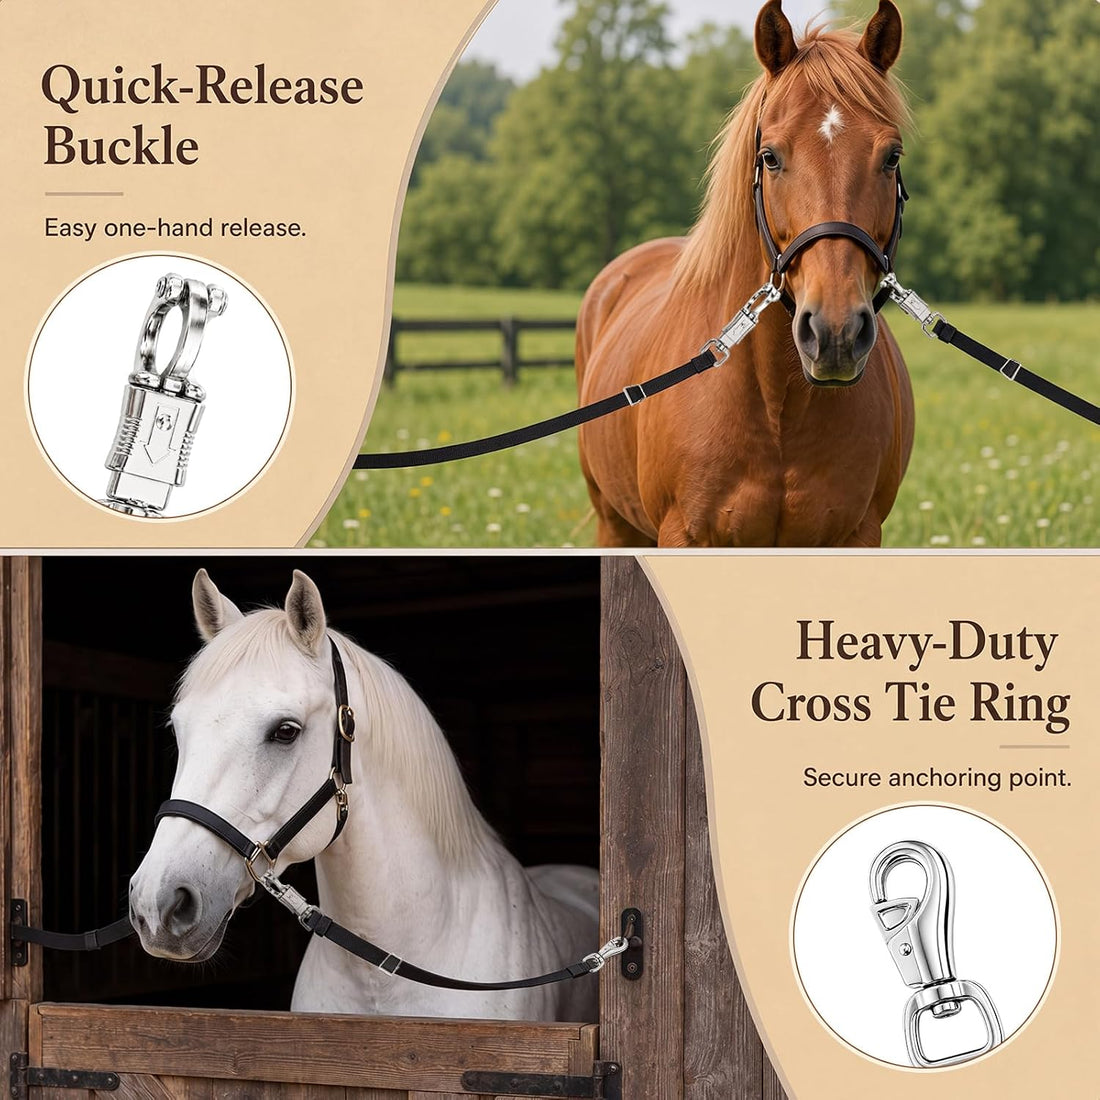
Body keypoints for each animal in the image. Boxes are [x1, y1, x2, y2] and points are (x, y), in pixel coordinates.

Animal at [576, 0, 915, 547]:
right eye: (770, 157)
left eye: (891, 156)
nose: (836, 333)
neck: (777, 404)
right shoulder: (685, 536)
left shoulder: (856, 535)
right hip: (614, 522)